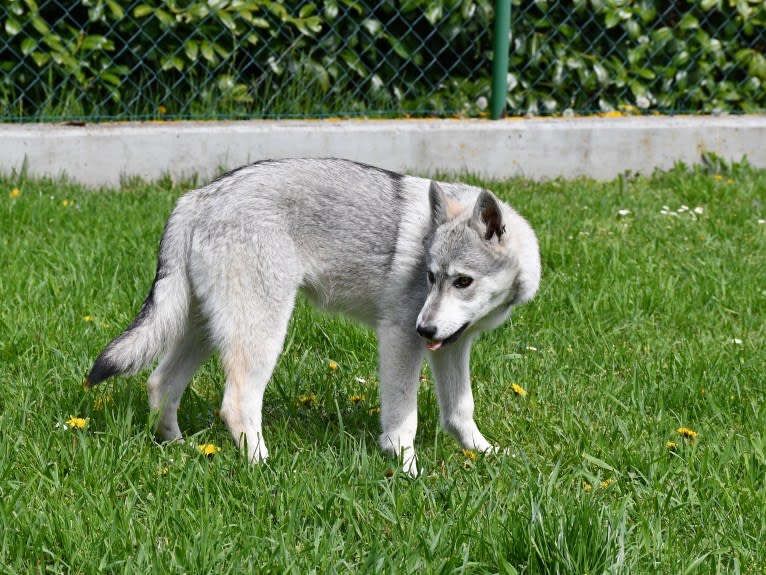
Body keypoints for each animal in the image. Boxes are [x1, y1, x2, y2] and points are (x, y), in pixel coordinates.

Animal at [87, 159, 544, 476]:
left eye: (462, 281)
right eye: (431, 277)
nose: (425, 326)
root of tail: (197, 197)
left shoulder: (451, 346)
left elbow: (460, 410)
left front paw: (483, 452)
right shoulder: (401, 337)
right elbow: (403, 420)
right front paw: (408, 470)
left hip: (206, 330)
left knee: (160, 383)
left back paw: (179, 447)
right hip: (261, 334)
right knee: (236, 404)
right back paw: (264, 468)